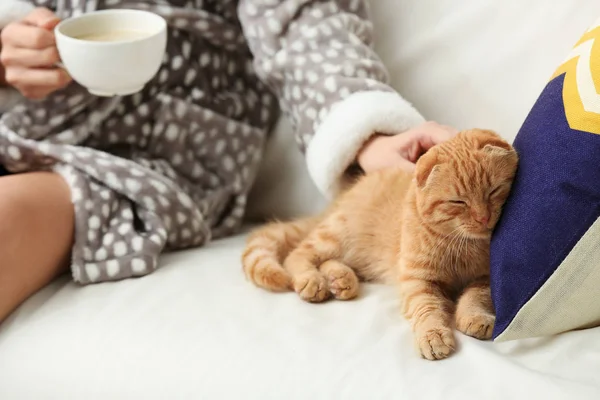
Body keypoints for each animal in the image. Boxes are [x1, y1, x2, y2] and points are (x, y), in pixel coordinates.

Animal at [241, 129, 516, 360]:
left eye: (494, 191)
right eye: (458, 202)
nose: (483, 218)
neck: (462, 245)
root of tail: (341, 198)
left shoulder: (485, 278)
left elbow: (474, 297)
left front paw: (474, 317)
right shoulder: (416, 280)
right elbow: (426, 308)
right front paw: (433, 335)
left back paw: (340, 280)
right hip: (336, 234)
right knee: (298, 254)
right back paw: (313, 280)